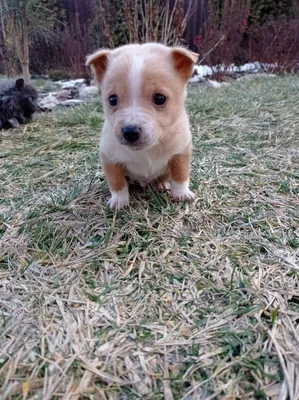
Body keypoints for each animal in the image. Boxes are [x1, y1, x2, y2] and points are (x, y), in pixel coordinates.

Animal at [86, 43, 199, 209]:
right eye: (112, 100)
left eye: (160, 98)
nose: (130, 132)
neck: (146, 151)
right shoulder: (109, 158)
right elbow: (116, 182)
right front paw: (119, 201)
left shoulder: (181, 152)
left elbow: (180, 175)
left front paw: (182, 194)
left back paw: (161, 184)